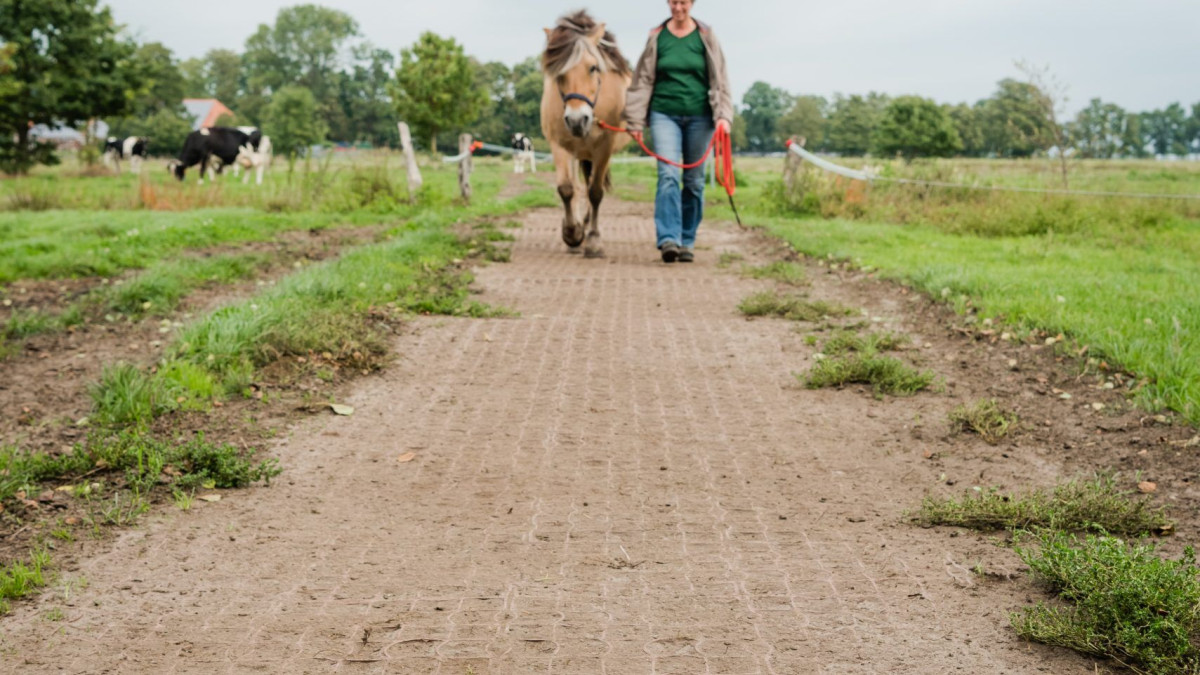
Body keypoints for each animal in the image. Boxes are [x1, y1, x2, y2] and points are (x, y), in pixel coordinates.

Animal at [540, 10, 633, 257]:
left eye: (593, 68)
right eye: (558, 73)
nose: (576, 120)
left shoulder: (604, 147)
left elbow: (595, 192)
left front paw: (593, 240)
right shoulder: (559, 145)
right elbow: (566, 189)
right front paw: (572, 234)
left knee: (591, 186)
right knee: (577, 185)